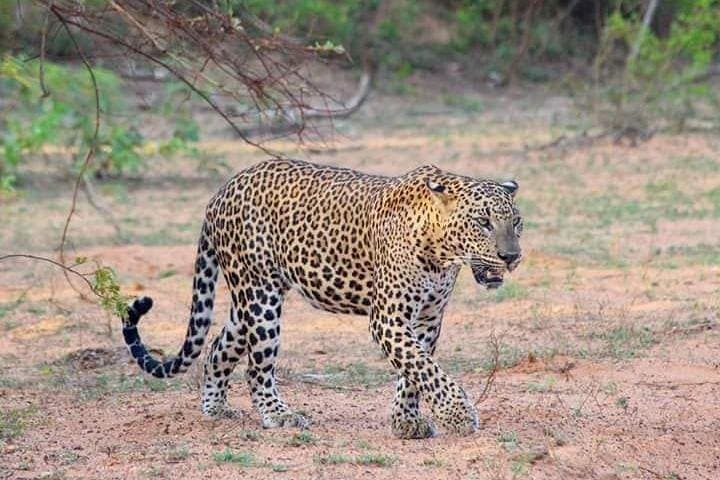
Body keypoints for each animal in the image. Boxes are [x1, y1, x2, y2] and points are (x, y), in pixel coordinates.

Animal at [121, 158, 523, 439]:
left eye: (516, 222)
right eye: (483, 222)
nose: (511, 257)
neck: (441, 253)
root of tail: (221, 191)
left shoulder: (427, 318)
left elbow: (414, 371)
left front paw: (406, 422)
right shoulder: (389, 318)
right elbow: (424, 368)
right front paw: (458, 414)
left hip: (249, 298)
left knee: (219, 347)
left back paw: (216, 410)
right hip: (261, 297)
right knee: (257, 366)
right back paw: (278, 415)